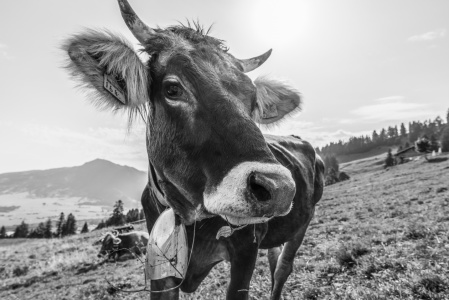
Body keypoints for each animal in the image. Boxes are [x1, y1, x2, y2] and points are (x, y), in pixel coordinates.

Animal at [62, 1, 322, 298]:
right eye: (173, 89)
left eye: (254, 101)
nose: (279, 188)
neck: (190, 220)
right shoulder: (159, 265)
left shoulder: (246, 251)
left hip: (305, 219)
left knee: (282, 268)